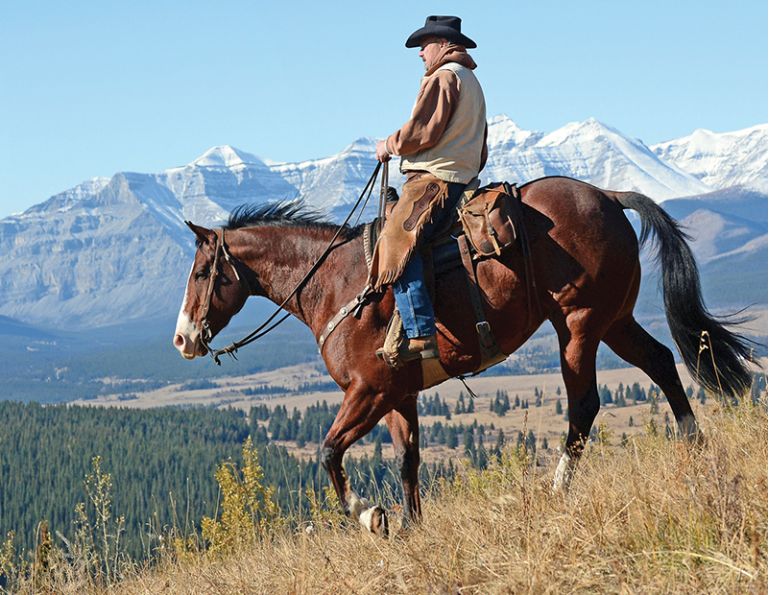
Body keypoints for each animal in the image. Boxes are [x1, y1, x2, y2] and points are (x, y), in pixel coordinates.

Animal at [172, 175, 754, 536]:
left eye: (201, 273)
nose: (182, 340)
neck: (337, 285)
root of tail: (608, 196)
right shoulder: (399, 395)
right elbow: (407, 461)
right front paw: (410, 527)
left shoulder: (368, 390)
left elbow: (329, 452)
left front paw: (370, 516)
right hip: (614, 321)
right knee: (661, 362)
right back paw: (696, 449)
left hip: (579, 325)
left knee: (584, 406)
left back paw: (556, 489)